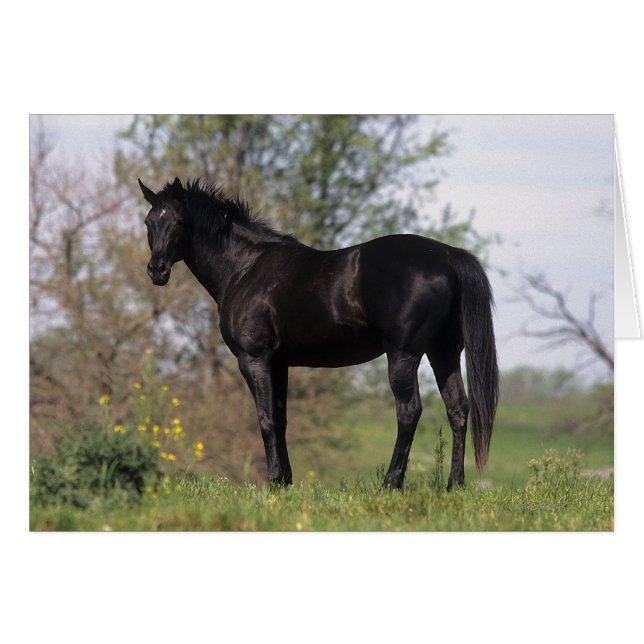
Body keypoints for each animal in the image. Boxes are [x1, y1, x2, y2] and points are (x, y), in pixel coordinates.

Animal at [139, 177, 499, 490]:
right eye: (148, 222)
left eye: (178, 222)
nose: (157, 270)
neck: (245, 268)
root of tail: (448, 256)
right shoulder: (278, 363)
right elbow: (281, 419)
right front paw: (284, 481)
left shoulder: (254, 359)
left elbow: (266, 419)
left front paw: (273, 481)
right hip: (444, 353)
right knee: (458, 410)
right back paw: (454, 485)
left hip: (404, 355)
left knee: (409, 412)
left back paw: (391, 483)